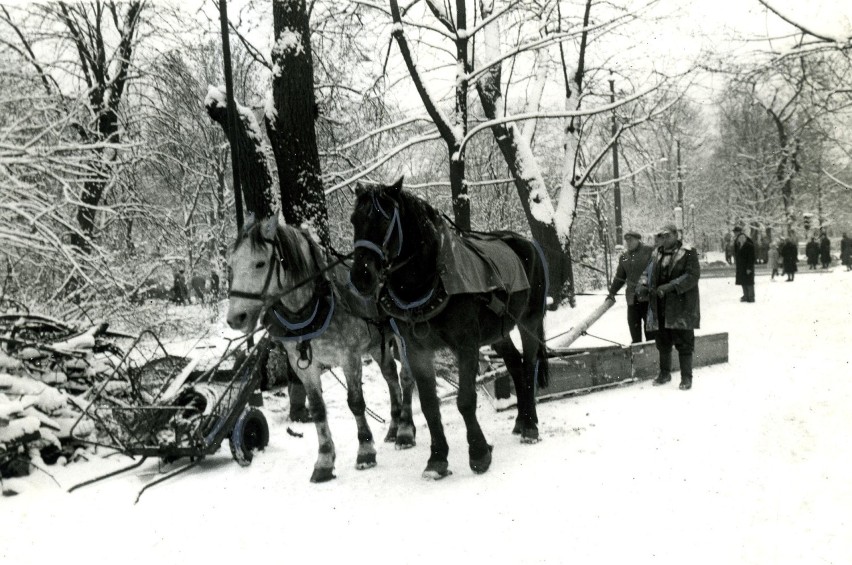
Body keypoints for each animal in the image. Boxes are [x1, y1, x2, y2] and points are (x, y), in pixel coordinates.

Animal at [225, 215, 414, 480]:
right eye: (231, 265)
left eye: (260, 264)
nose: (236, 318)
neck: (314, 306)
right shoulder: (304, 365)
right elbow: (316, 409)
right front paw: (324, 460)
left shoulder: (349, 357)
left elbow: (356, 403)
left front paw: (365, 450)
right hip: (377, 344)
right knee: (391, 377)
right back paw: (395, 427)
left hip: (400, 335)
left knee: (406, 377)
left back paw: (406, 431)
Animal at [348, 176, 552, 476]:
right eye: (354, 220)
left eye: (384, 220)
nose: (361, 276)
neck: (430, 281)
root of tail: (528, 243)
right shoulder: (417, 350)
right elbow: (430, 406)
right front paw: (437, 458)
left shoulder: (465, 344)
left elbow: (465, 400)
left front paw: (479, 452)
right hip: (498, 333)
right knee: (515, 364)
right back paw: (520, 420)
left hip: (530, 321)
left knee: (528, 367)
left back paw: (530, 426)